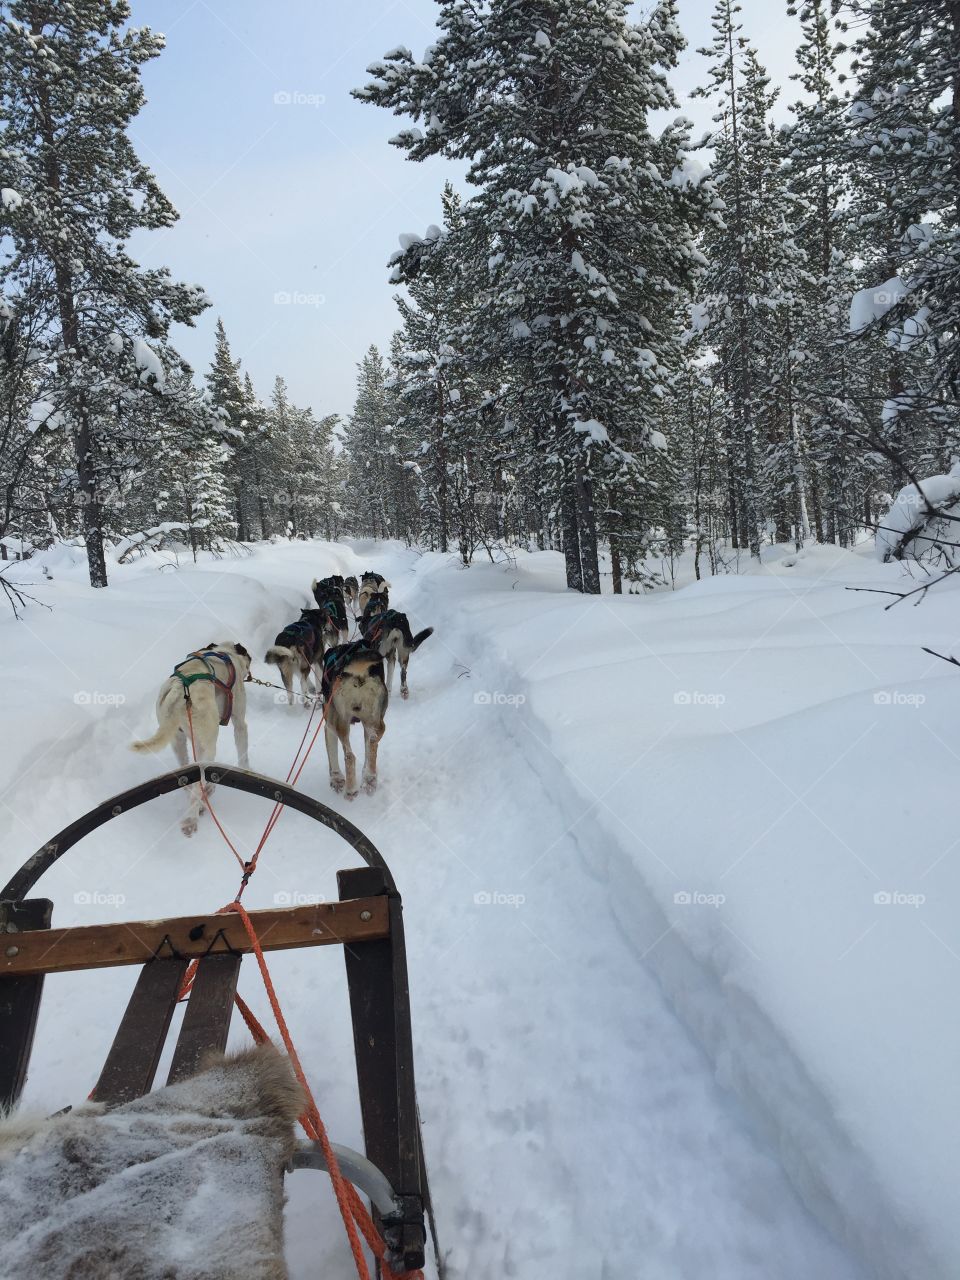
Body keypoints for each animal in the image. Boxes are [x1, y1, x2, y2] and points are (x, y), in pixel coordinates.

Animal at [131, 640, 252, 839]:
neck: (224, 652)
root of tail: (180, 689)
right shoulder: (240, 723)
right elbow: (243, 755)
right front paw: (247, 771)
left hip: (178, 741)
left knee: (188, 779)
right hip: (206, 744)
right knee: (199, 782)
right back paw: (193, 816)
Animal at [320, 640, 386, 798]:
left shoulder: (328, 726)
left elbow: (332, 755)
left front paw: (336, 779)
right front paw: (366, 775)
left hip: (340, 722)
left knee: (349, 755)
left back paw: (350, 790)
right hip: (373, 719)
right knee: (374, 740)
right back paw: (370, 778)